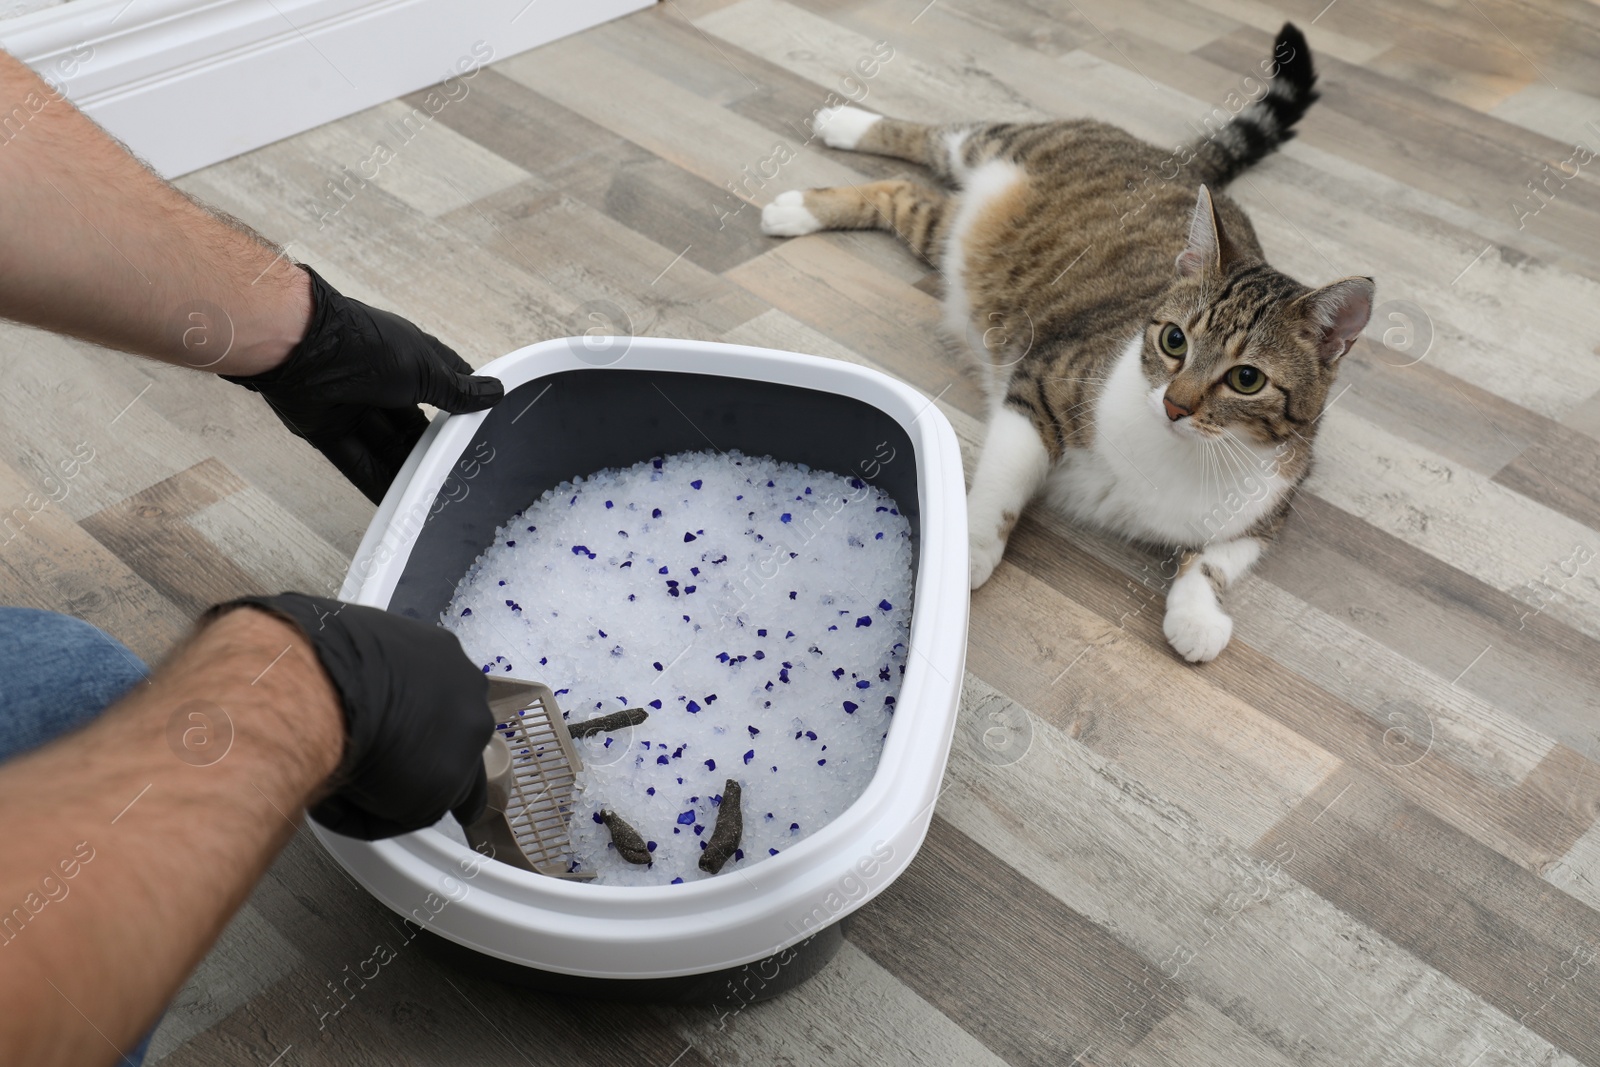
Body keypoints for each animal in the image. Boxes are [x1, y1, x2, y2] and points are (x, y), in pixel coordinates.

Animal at [755, 22, 1369, 659]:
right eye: (1174, 341)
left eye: (1246, 379)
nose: (1175, 406)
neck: (1181, 452)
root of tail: (1174, 163)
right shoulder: (1042, 383)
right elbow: (1004, 481)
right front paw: (970, 549)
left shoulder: (1274, 505)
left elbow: (1214, 561)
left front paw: (1197, 617)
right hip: (997, 144)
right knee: (926, 140)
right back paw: (831, 142)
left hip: (943, 235)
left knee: (907, 196)